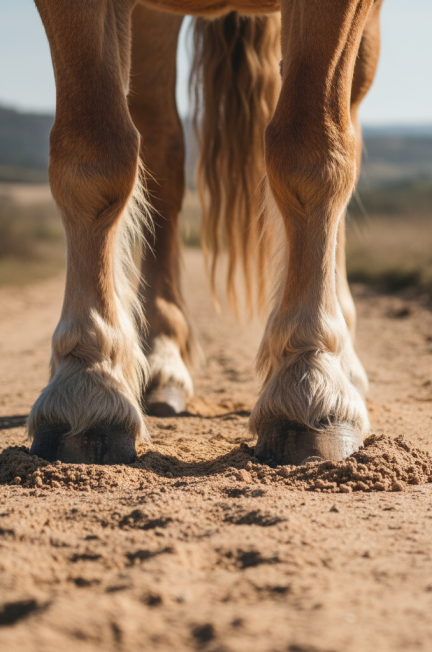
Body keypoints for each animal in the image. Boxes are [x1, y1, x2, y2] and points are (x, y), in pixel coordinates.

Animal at [27, 0, 383, 466]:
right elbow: (92, 158)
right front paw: (87, 381)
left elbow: (314, 150)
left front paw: (311, 380)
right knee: (160, 149)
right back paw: (162, 356)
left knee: (350, 126)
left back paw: (347, 363)